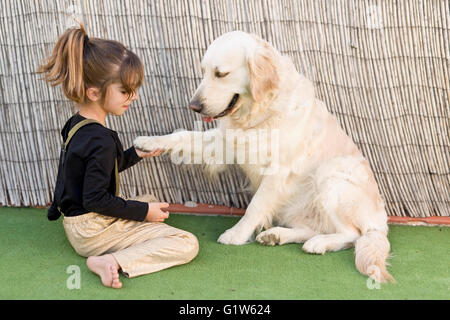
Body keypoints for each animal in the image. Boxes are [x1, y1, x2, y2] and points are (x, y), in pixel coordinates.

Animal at [134, 30, 394, 282]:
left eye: (221, 74)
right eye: (203, 71)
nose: (194, 106)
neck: (259, 111)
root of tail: (380, 222)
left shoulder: (278, 171)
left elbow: (255, 206)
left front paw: (237, 234)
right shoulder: (225, 143)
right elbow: (184, 136)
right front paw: (148, 142)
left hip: (330, 176)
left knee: (352, 234)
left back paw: (319, 243)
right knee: (315, 228)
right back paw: (277, 235)